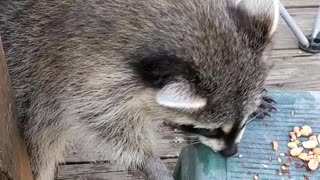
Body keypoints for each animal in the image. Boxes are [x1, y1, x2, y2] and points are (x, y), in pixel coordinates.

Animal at [0, 0, 278, 179]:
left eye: (243, 120)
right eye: (210, 129)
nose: (231, 152)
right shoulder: (68, 73)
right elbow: (102, 121)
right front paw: (147, 159)